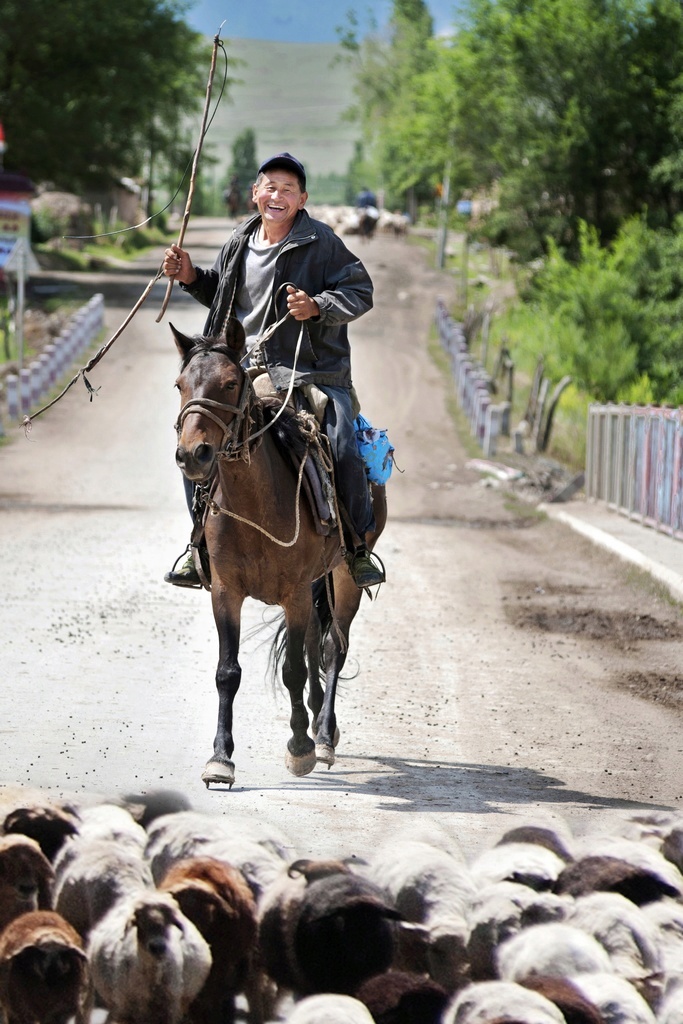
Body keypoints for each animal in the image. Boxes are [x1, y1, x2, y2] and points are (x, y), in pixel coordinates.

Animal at [168, 315, 387, 786]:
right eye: (180, 384)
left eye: (231, 383)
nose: (193, 455)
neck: (257, 503)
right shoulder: (226, 592)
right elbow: (228, 672)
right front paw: (220, 758)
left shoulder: (294, 593)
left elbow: (293, 671)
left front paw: (300, 746)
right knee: (314, 644)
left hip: (342, 578)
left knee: (332, 648)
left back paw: (323, 735)